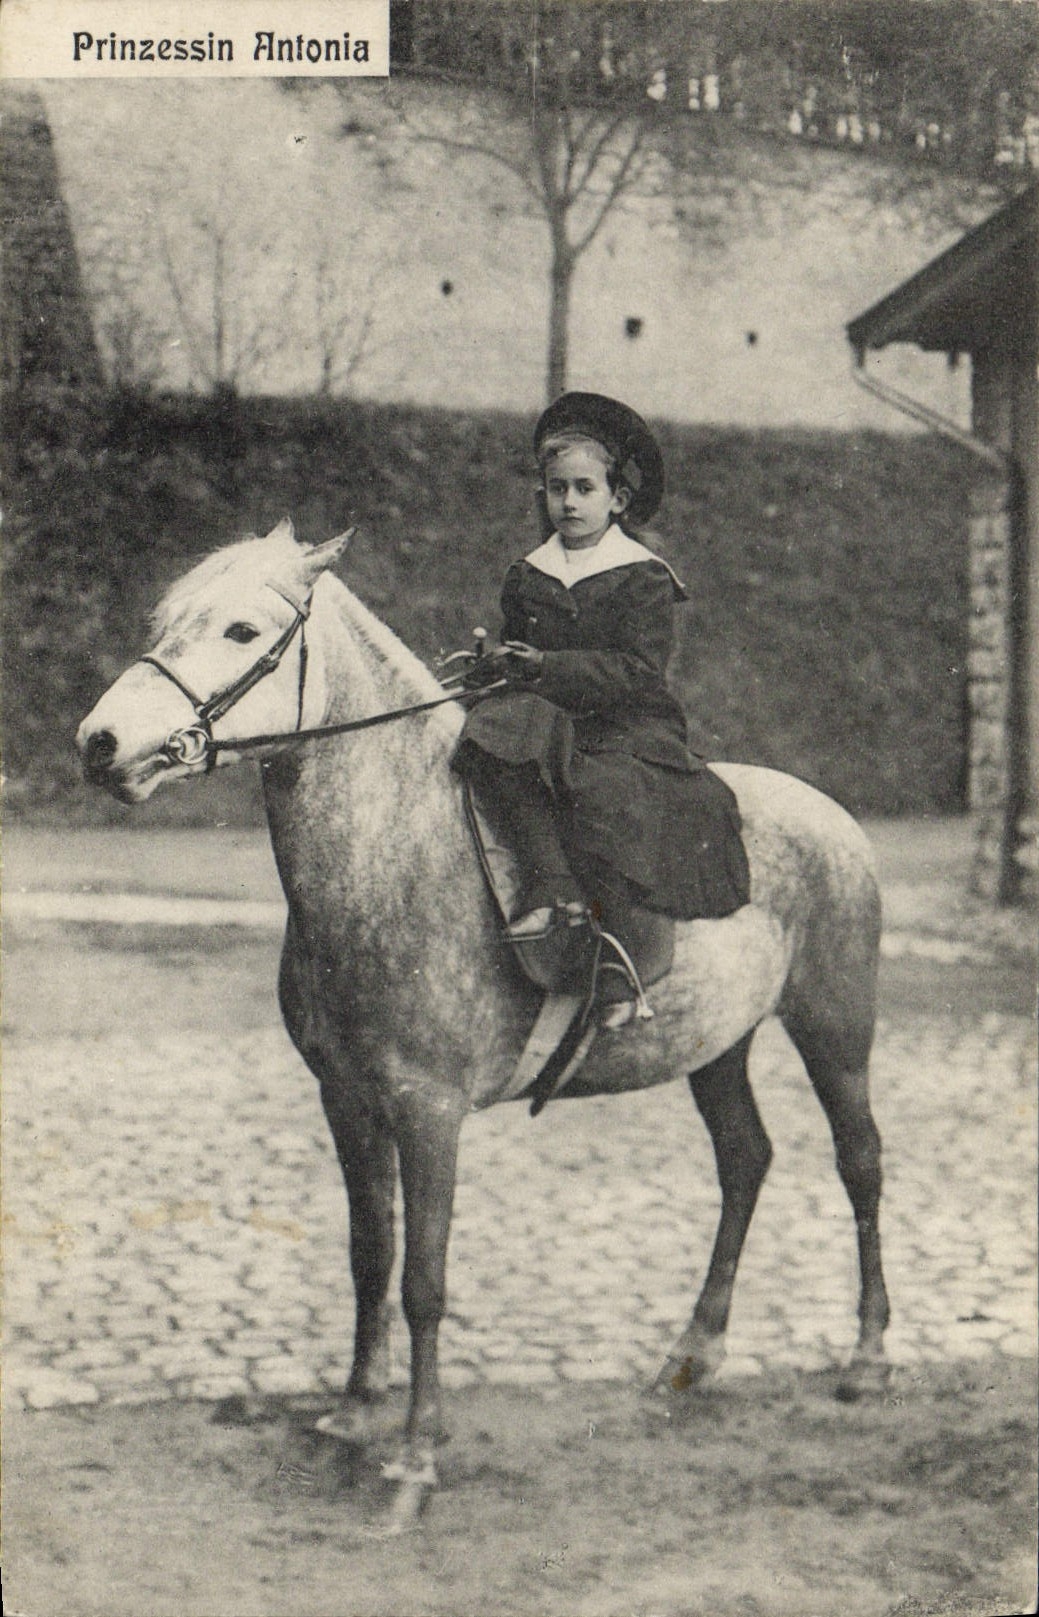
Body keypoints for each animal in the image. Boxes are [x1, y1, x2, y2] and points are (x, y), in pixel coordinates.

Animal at [77, 520, 890, 1522]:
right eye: (164, 621)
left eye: (240, 630)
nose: (99, 742)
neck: (399, 850)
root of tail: (829, 813)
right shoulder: (348, 1101)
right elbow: (369, 1254)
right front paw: (353, 1411)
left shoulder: (429, 1111)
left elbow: (424, 1281)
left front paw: (415, 1458)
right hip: (718, 1045)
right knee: (744, 1161)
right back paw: (692, 1353)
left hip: (833, 1023)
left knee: (859, 1162)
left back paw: (866, 1358)